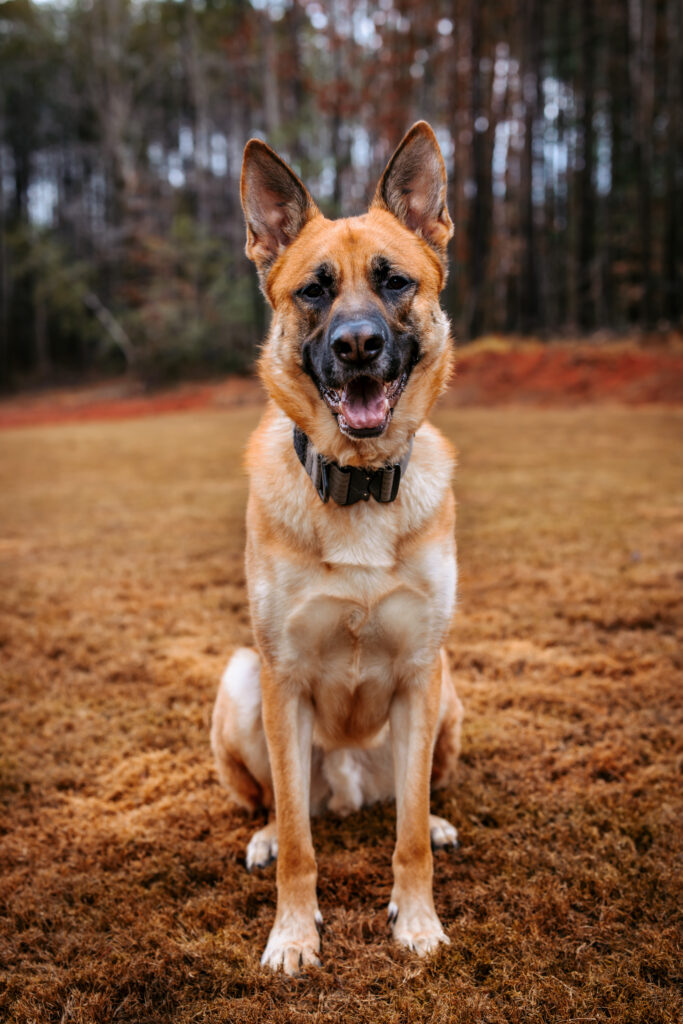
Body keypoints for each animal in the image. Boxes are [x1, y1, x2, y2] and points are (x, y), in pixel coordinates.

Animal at [210, 121, 462, 974]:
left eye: (394, 283)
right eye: (314, 291)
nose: (356, 346)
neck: (355, 484)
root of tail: (350, 788)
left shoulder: (420, 673)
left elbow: (407, 835)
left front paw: (417, 923)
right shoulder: (282, 679)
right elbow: (298, 844)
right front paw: (292, 934)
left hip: (450, 696)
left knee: (412, 801)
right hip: (242, 685)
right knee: (281, 810)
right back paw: (261, 835)